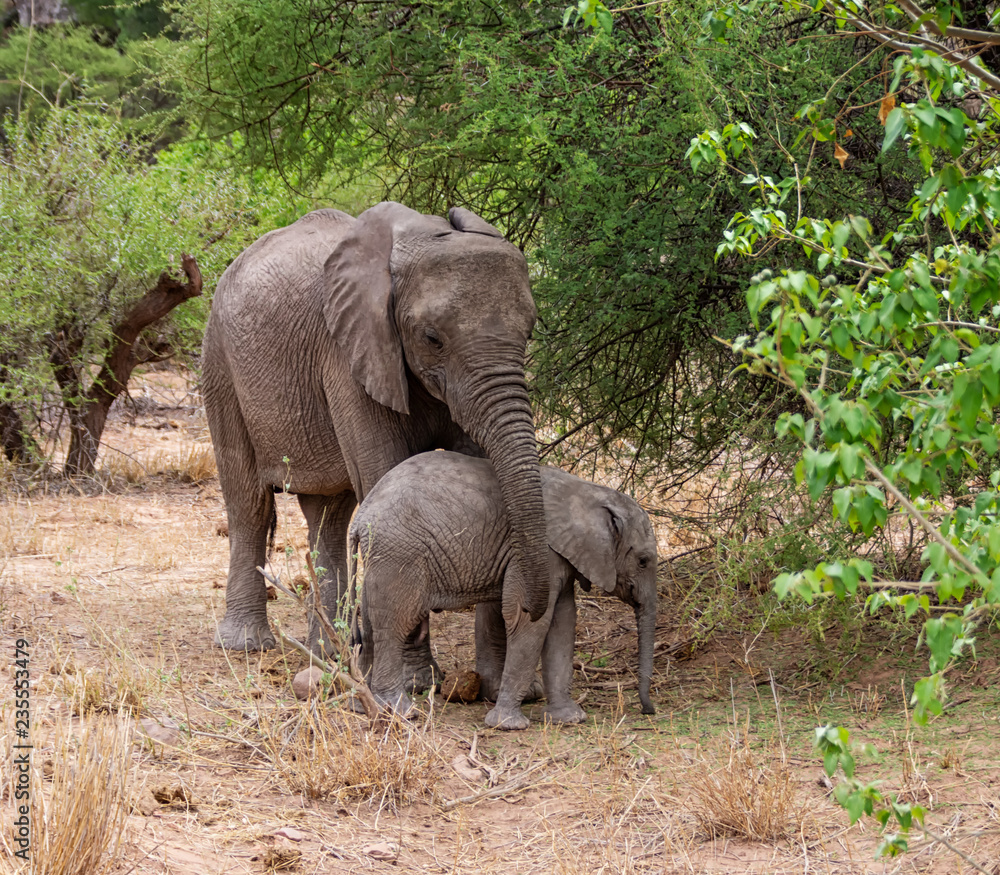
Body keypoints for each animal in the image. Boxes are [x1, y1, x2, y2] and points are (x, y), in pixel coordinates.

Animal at [201, 203, 552, 693]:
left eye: (530, 331)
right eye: (432, 338)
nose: (529, 608)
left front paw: (503, 687)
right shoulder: (348, 354)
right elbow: (385, 472)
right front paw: (418, 683)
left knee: (328, 515)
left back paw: (330, 653)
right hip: (219, 361)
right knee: (248, 501)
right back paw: (248, 645)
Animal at [350, 451, 657, 729]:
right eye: (643, 561)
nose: (647, 711)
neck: (590, 492)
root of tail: (360, 516)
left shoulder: (561, 557)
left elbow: (563, 621)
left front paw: (569, 719)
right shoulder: (540, 554)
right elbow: (531, 622)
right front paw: (507, 725)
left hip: (382, 556)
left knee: (371, 622)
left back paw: (361, 705)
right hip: (399, 552)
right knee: (394, 625)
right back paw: (398, 712)